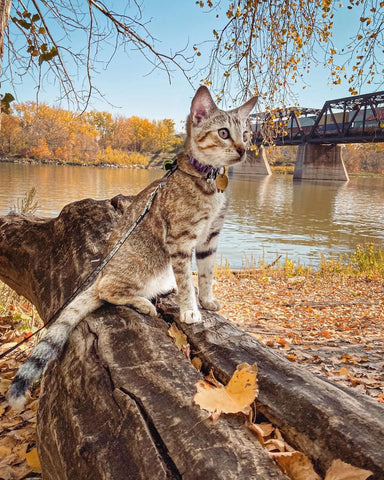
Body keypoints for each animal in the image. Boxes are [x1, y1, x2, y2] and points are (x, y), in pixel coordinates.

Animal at [7, 86, 256, 408]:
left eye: (246, 134)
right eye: (224, 133)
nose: (242, 149)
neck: (209, 182)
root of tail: (99, 274)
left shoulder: (210, 238)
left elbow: (206, 274)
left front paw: (207, 299)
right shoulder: (181, 240)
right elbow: (188, 282)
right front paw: (191, 309)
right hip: (138, 267)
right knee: (108, 293)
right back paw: (142, 303)